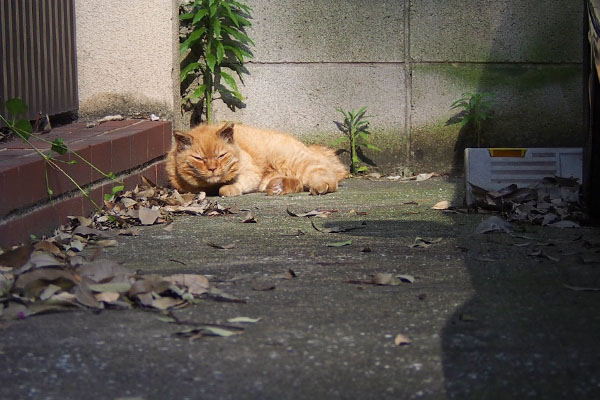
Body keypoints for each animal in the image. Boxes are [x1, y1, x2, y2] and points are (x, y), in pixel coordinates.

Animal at [166, 122, 350, 196]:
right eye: (199, 158)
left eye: (221, 155)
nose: (212, 168)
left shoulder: (250, 173)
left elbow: (236, 184)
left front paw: (228, 189)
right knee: (298, 183)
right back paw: (278, 187)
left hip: (294, 161)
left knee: (324, 173)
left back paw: (321, 186)